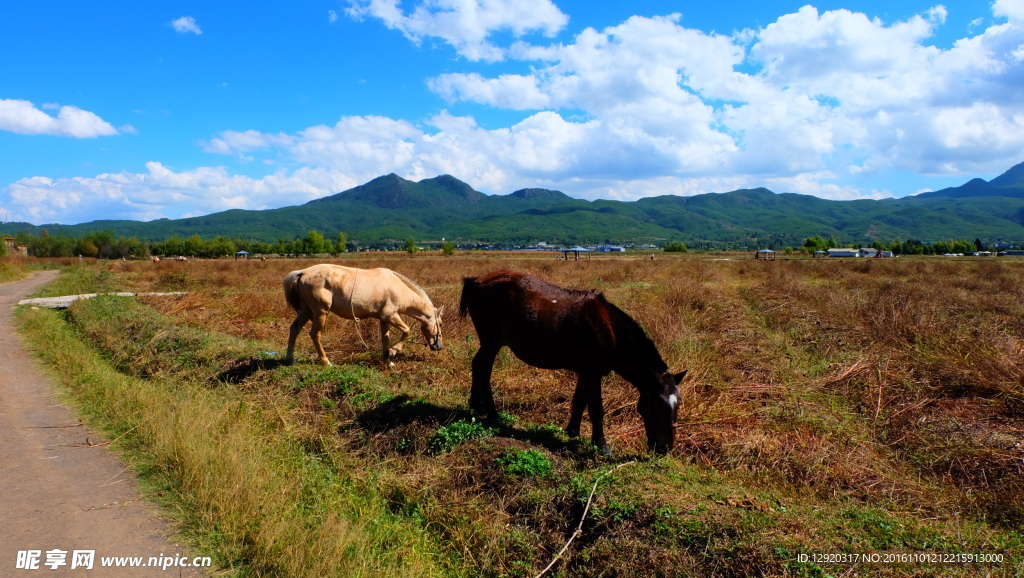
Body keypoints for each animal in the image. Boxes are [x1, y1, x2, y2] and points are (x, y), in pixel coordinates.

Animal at [282, 262, 442, 362]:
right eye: (440, 324)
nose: (439, 346)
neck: (398, 288)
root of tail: (303, 272)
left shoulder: (384, 319)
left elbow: (385, 339)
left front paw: (387, 359)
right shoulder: (391, 316)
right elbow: (407, 331)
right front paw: (393, 351)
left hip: (306, 310)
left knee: (294, 328)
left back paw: (290, 359)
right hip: (320, 311)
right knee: (315, 334)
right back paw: (326, 361)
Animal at [460, 270, 684, 457]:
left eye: (678, 404)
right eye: (657, 405)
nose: (665, 448)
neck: (609, 330)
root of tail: (479, 280)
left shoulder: (586, 372)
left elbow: (579, 401)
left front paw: (573, 430)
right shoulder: (593, 373)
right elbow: (596, 409)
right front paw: (601, 445)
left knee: (478, 365)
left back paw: (476, 405)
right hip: (492, 342)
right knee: (484, 368)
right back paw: (492, 412)